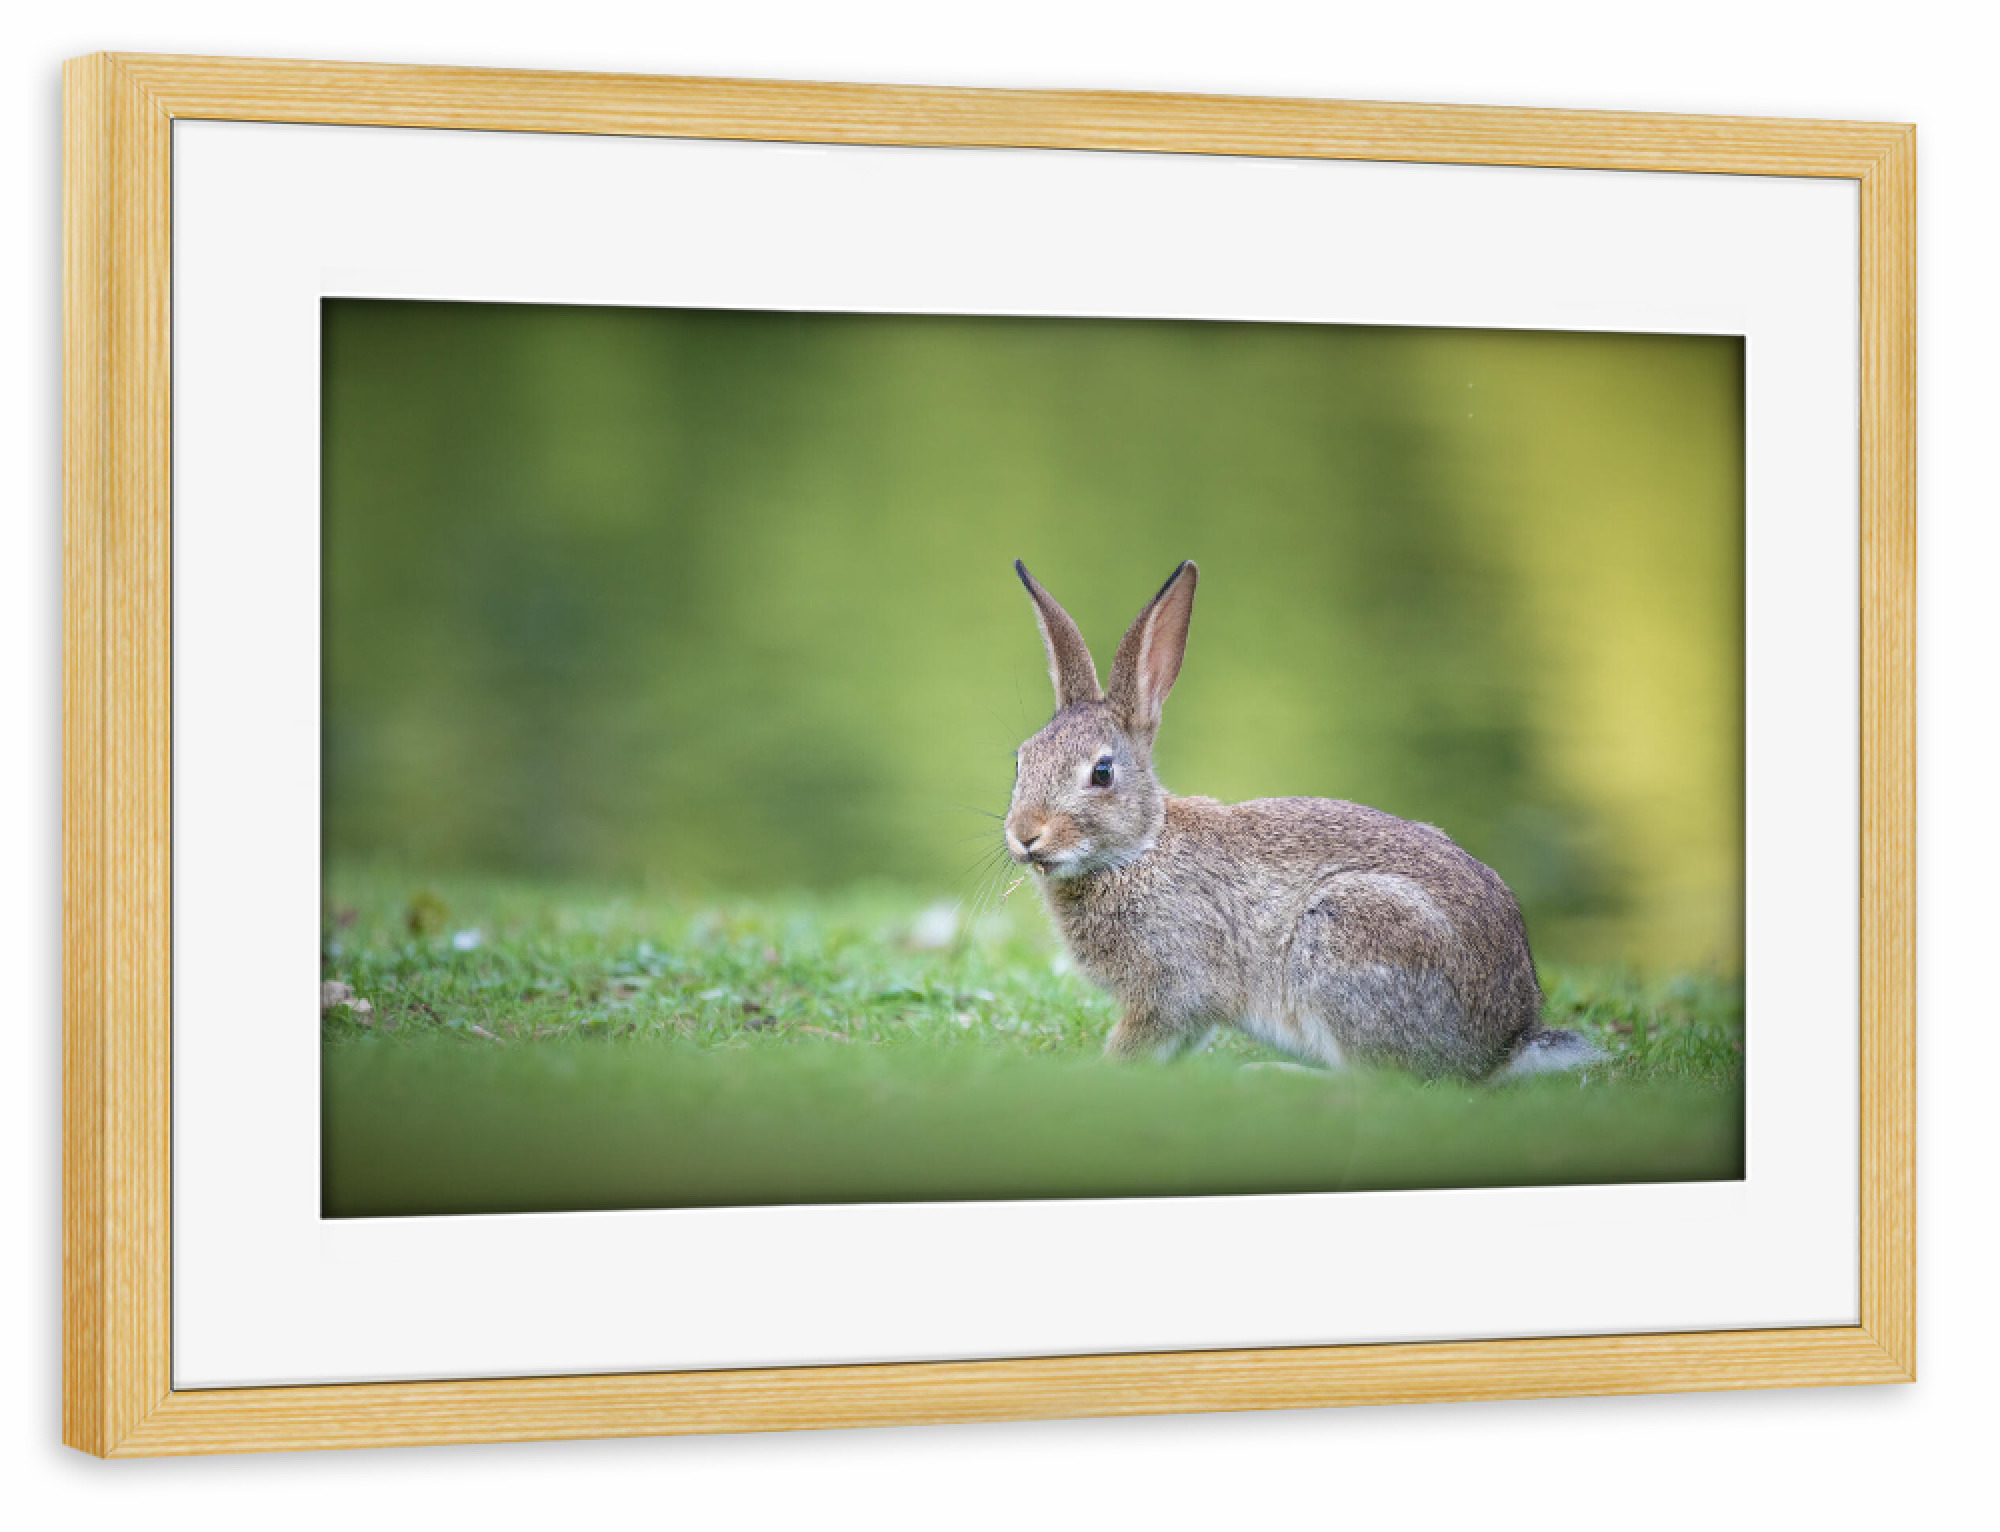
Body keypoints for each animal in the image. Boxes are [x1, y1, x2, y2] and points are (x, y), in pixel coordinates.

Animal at [1003, 558, 1603, 1081]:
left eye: (1102, 773)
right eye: (1021, 759)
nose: (1024, 836)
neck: (1140, 850)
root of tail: (1505, 1043)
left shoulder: (1171, 985)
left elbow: (1140, 1038)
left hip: (1347, 939)